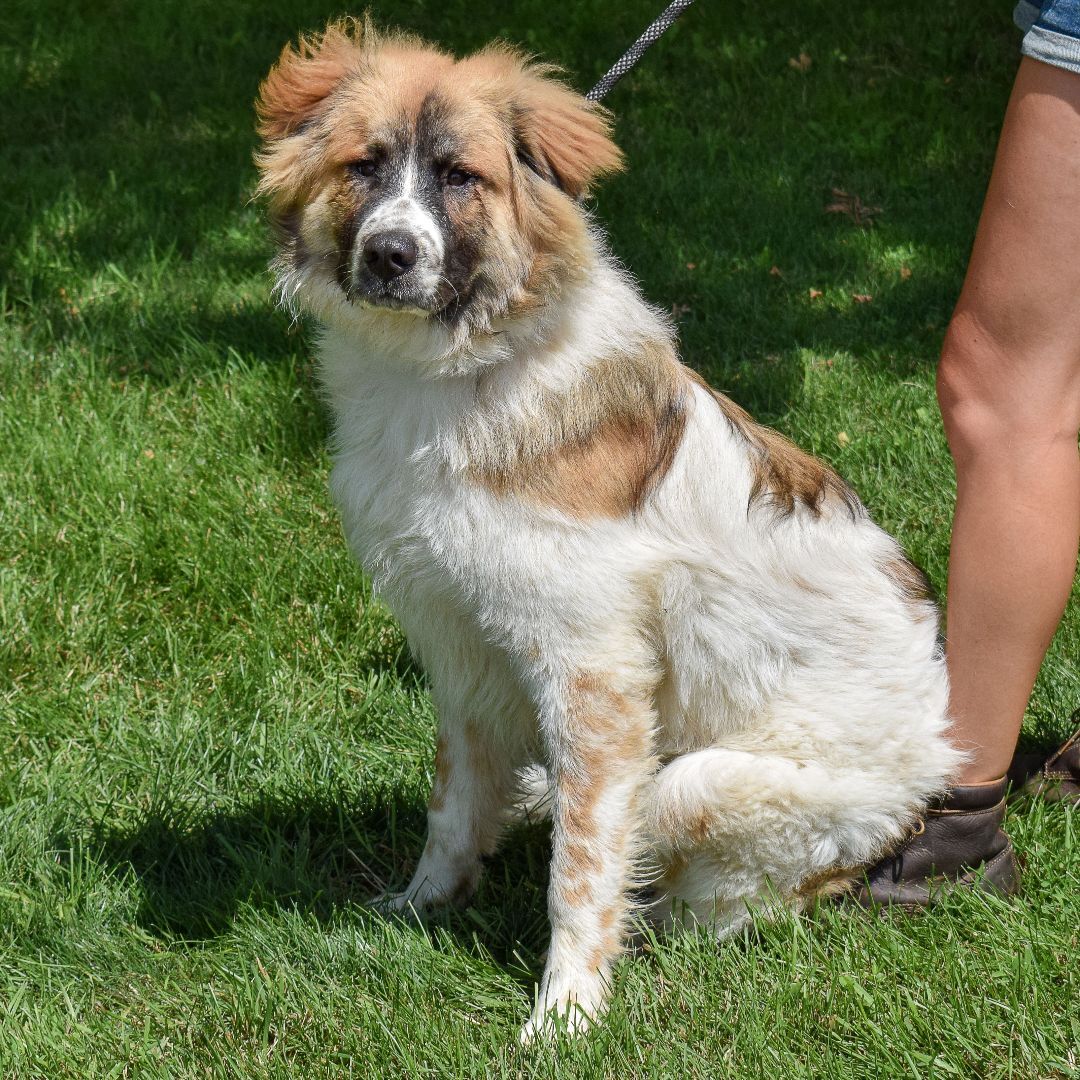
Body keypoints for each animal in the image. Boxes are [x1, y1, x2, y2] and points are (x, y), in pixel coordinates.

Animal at [254, 21, 963, 1036]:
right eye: (364, 166)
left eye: (461, 177)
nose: (391, 253)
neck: (460, 373)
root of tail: (938, 765)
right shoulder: (461, 646)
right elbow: (453, 803)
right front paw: (421, 908)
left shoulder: (592, 670)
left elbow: (583, 860)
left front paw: (567, 1012)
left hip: (720, 787)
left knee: (713, 874)